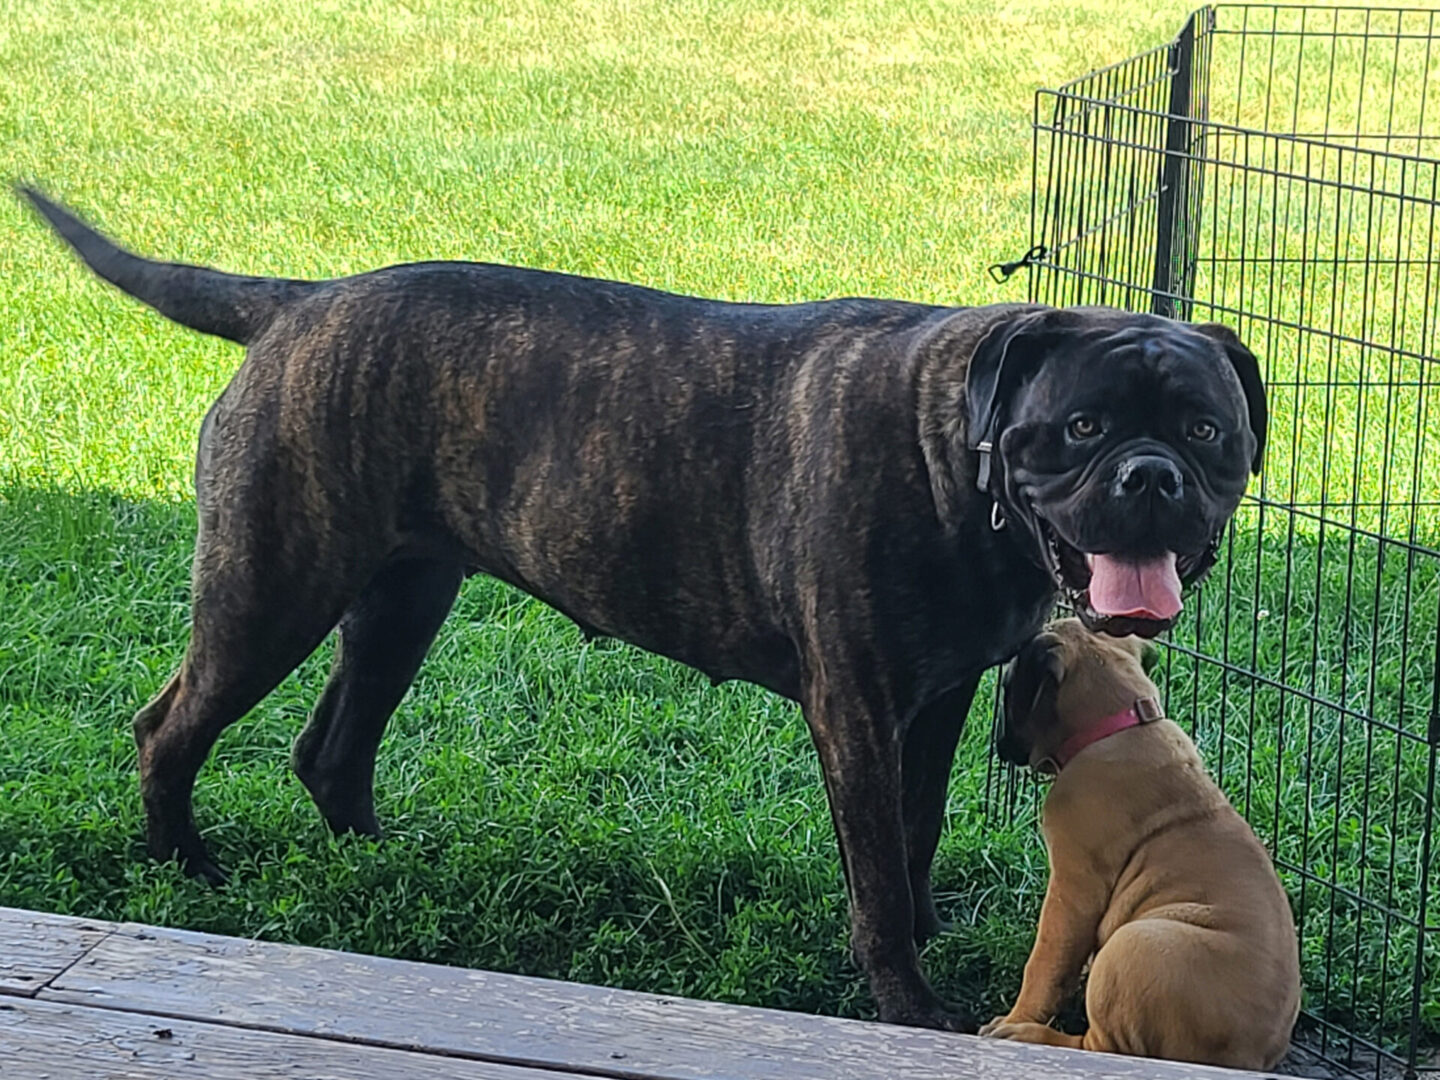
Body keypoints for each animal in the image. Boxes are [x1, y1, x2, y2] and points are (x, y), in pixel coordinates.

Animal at [19, 185, 1261, 1031]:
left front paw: (921, 931)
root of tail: (299, 303)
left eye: (1206, 430)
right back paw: (184, 868)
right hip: (272, 588)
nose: (1151, 478)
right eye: (1083, 426)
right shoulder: (857, 707)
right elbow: (873, 863)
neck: (949, 446)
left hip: (399, 601)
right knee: (170, 727)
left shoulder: (937, 700)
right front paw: (907, 1001)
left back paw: (380, 859)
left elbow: (915, 835)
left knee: (333, 747)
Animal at [984, 616, 1301, 1077]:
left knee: (1102, 1047)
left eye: (1008, 688)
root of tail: (1243, 1059)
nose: (999, 744)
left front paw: (1018, 1016)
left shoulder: (1072, 889)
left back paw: (1029, 1035)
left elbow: (1044, 964)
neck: (1119, 723)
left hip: (1135, 944)